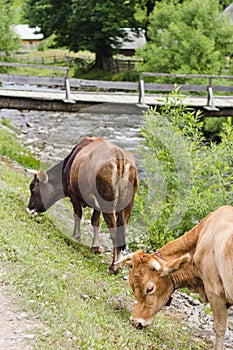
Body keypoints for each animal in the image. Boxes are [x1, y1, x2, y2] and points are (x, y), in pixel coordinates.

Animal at [26, 137, 138, 274]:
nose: (29, 208)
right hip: (128, 205)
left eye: (32, 188)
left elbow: (77, 214)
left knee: (115, 233)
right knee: (122, 231)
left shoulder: (74, 195)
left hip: (107, 203)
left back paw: (114, 267)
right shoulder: (95, 203)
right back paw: (118, 264)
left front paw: (76, 236)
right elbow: (95, 221)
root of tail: (119, 156)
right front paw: (95, 247)